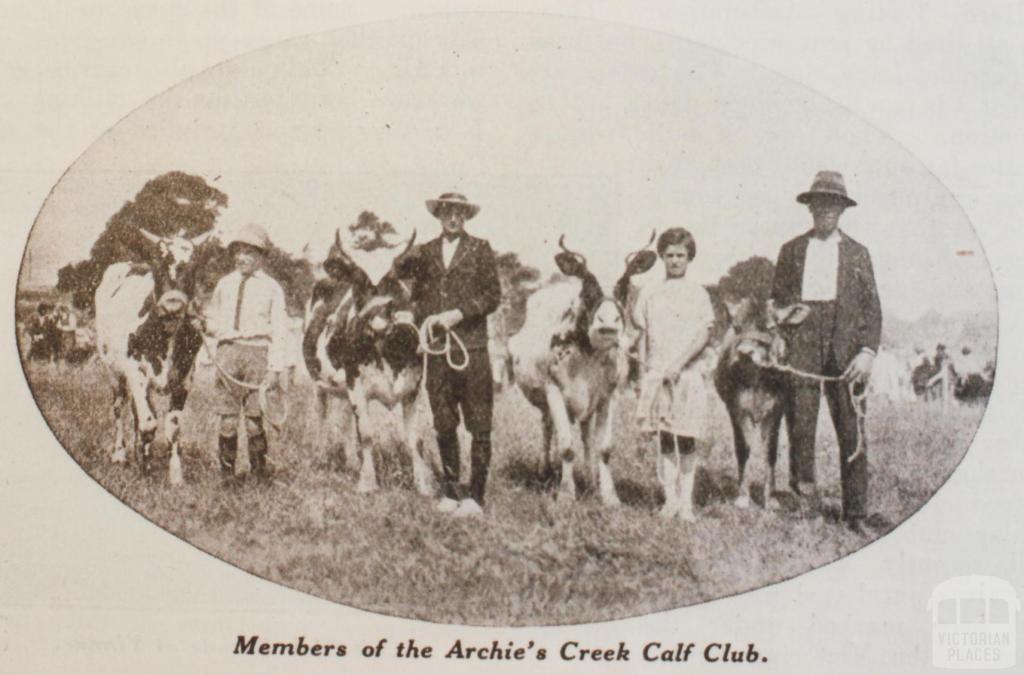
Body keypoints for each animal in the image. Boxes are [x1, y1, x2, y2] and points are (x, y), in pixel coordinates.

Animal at [94, 229, 211, 483]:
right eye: (157, 267)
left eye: (193, 268)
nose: (172, 307)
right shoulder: (135, 370)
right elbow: (149, 423)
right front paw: (146, 471)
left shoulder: (185, 377)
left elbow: (172, 427)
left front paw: (175, 475)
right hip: (113, 371)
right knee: (119, 408)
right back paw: (120, 454)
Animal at [299, 229, 428, 493]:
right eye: (359, 282)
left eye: (392, 280)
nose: (377, 323)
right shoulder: (356, 384)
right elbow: (366, 434)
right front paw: (368, 483)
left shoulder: (413, 389)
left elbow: (416, 439)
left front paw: (422, 485)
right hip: (320, 383)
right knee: (322, 416)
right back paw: (320, 456)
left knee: (346, 421)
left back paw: (350, 461)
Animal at [509, 232, 655, 501]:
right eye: (588, 285)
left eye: (624, 285)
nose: (608, 323)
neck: (589, 355)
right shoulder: (554, 390)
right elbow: (567, 446)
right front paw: (567, 494)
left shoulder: (608, 395)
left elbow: (604, 448)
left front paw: (608, 494)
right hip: (544, 399)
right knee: (547, 428)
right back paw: (545, 469)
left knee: (586, 437)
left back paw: (589, 479)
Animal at [716, 299, 811, 510]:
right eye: (737, 327)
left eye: (771, 327)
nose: (745, 353)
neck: (756, 380)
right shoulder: (737, 410)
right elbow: (744, 448)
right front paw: (743, 496)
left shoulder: (775, 410)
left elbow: (770, 452)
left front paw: (770, 498)